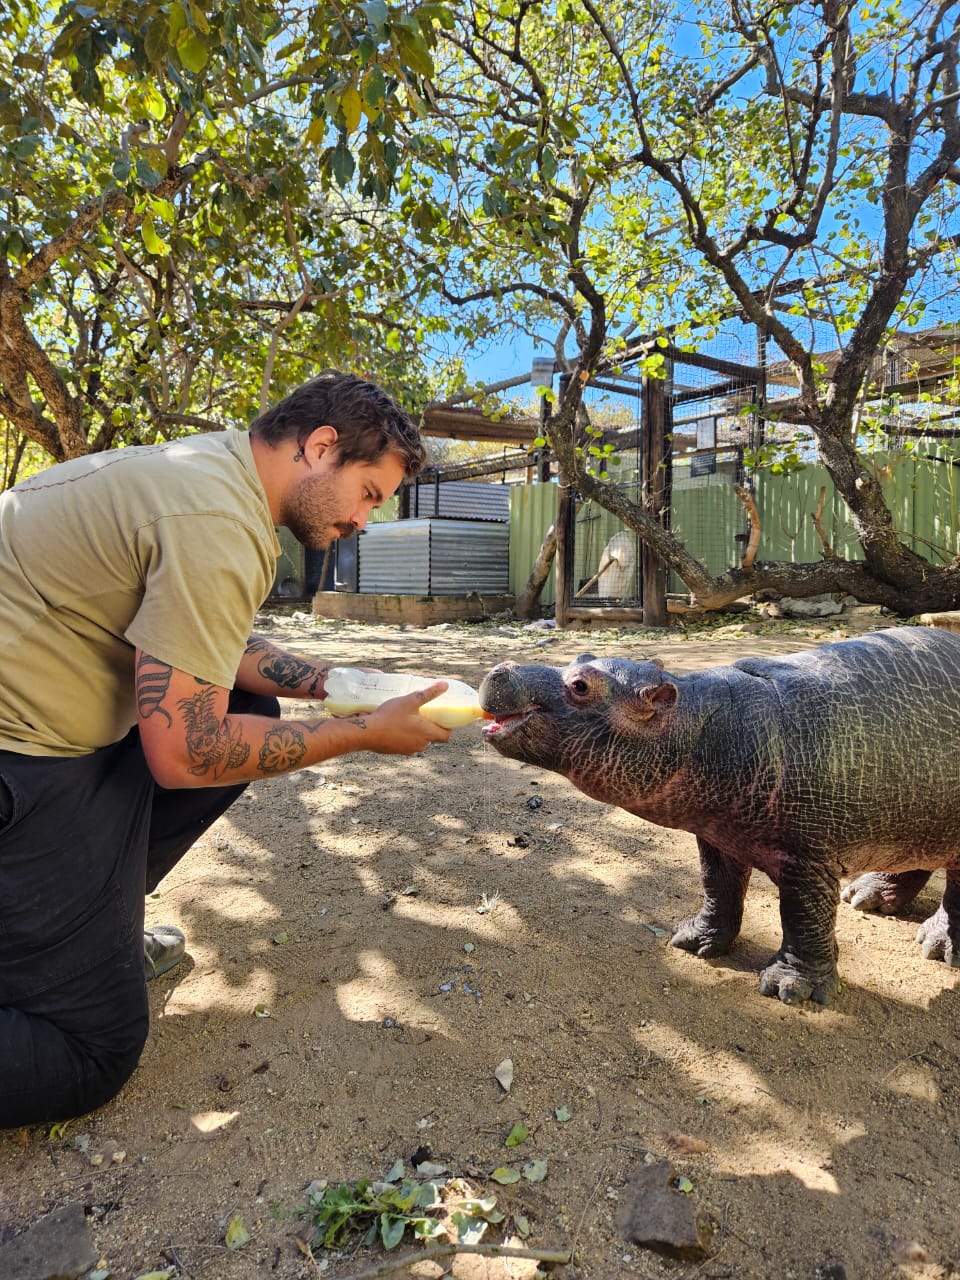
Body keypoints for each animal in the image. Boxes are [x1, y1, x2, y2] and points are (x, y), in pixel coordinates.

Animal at [479, 626, 960, 1006]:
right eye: (580, 656)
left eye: (581, 685)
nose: (501, 667)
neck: (696, 725)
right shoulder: (715, 834)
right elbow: (718, 887)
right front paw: (692, 941)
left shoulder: (808, 856)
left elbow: (803, 915)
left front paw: (790, 988)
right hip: (914, 814)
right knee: (913, 859)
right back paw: (865, 897)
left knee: (954, 888)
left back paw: (938, 948)